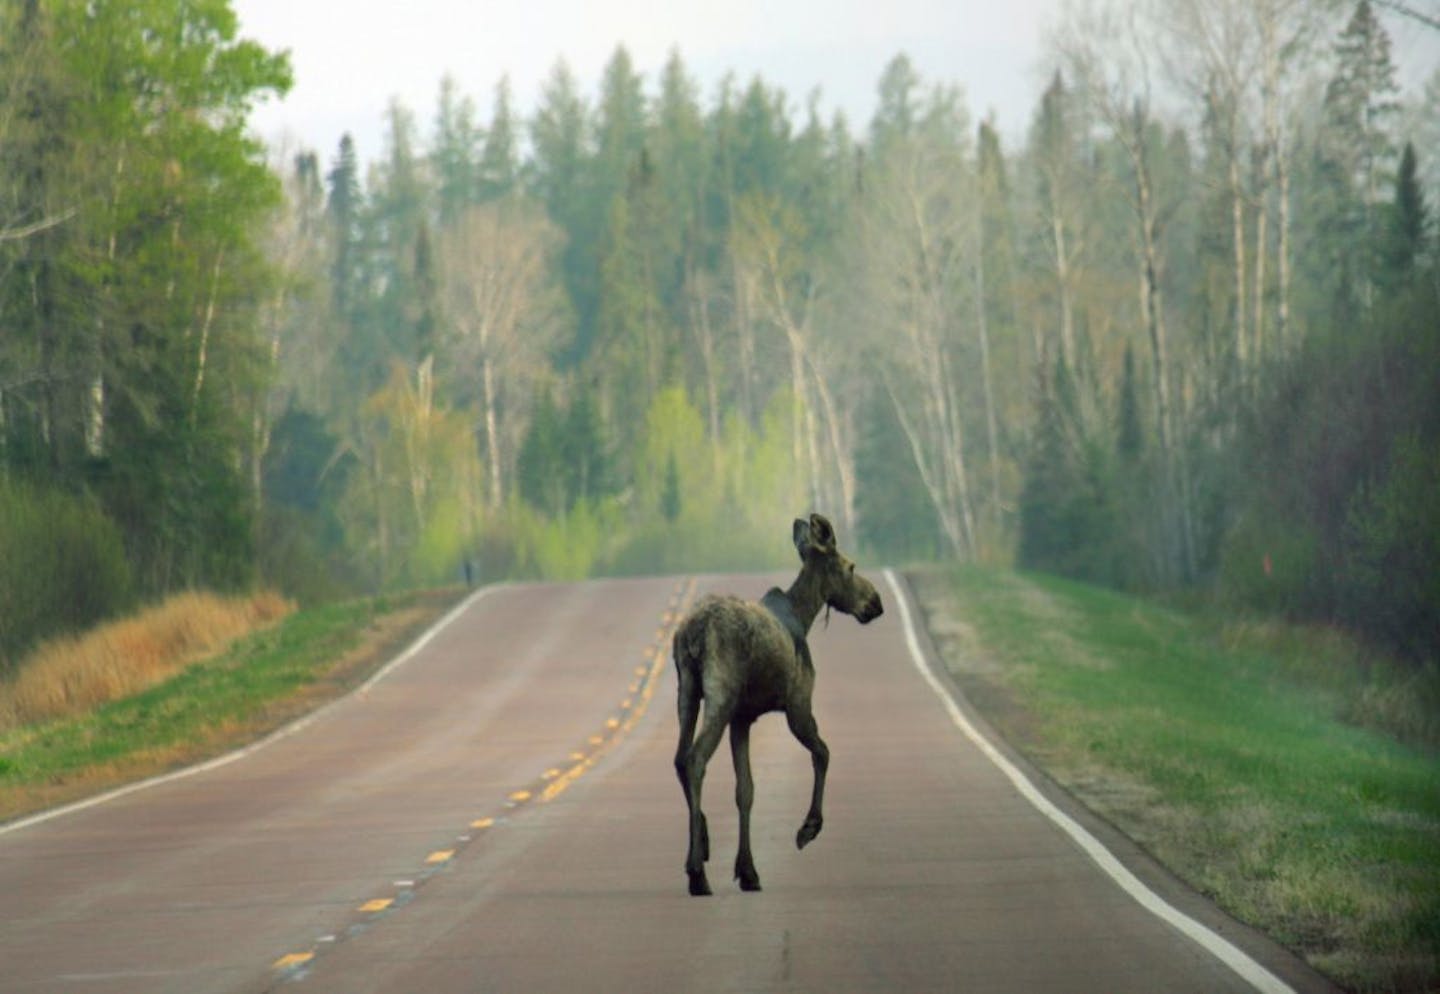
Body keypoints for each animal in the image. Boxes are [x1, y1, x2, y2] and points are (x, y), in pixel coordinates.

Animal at [671, 515, 875, 893]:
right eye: (851, 566)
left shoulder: (742, 718)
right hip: (719, 695)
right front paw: (808, 828)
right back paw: (697, 872)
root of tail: (694, 633)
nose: (876, 602)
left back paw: (702, 843)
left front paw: (747, 870)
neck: (803, 616)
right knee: (695, 758)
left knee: (679, 758)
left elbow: (746, 790)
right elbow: (823, 753)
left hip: (687, 691)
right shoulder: (798, 705)